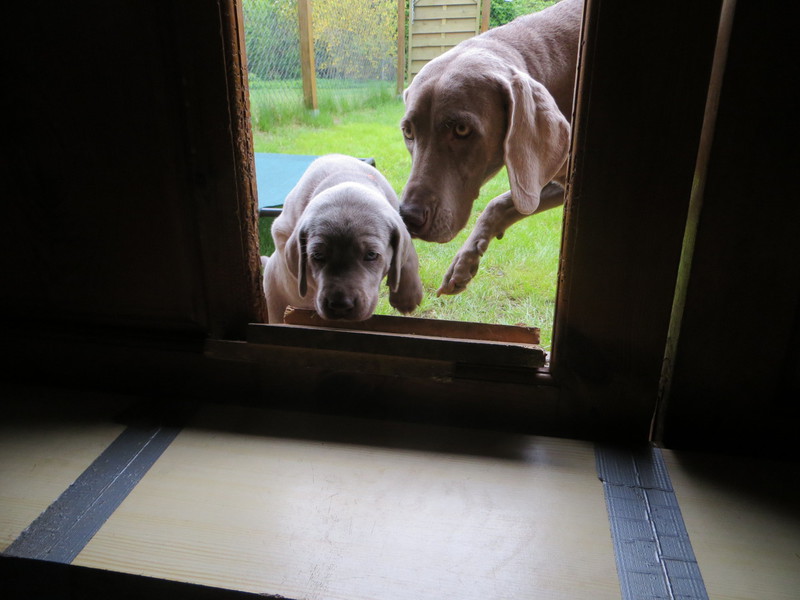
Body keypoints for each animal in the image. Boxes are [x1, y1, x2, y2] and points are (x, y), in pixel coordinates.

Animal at [262, 154, 423, 323]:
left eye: (371, 255)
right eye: (317, 255)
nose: (340, 306)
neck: (345, 176)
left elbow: (408, 254)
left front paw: (407, 296)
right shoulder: (282, 230)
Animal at [399, 0, 582, 295]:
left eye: (462, 130)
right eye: (408, 132)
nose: (409, 218)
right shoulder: (544, 177)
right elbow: (502, 203)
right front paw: (464, 263)